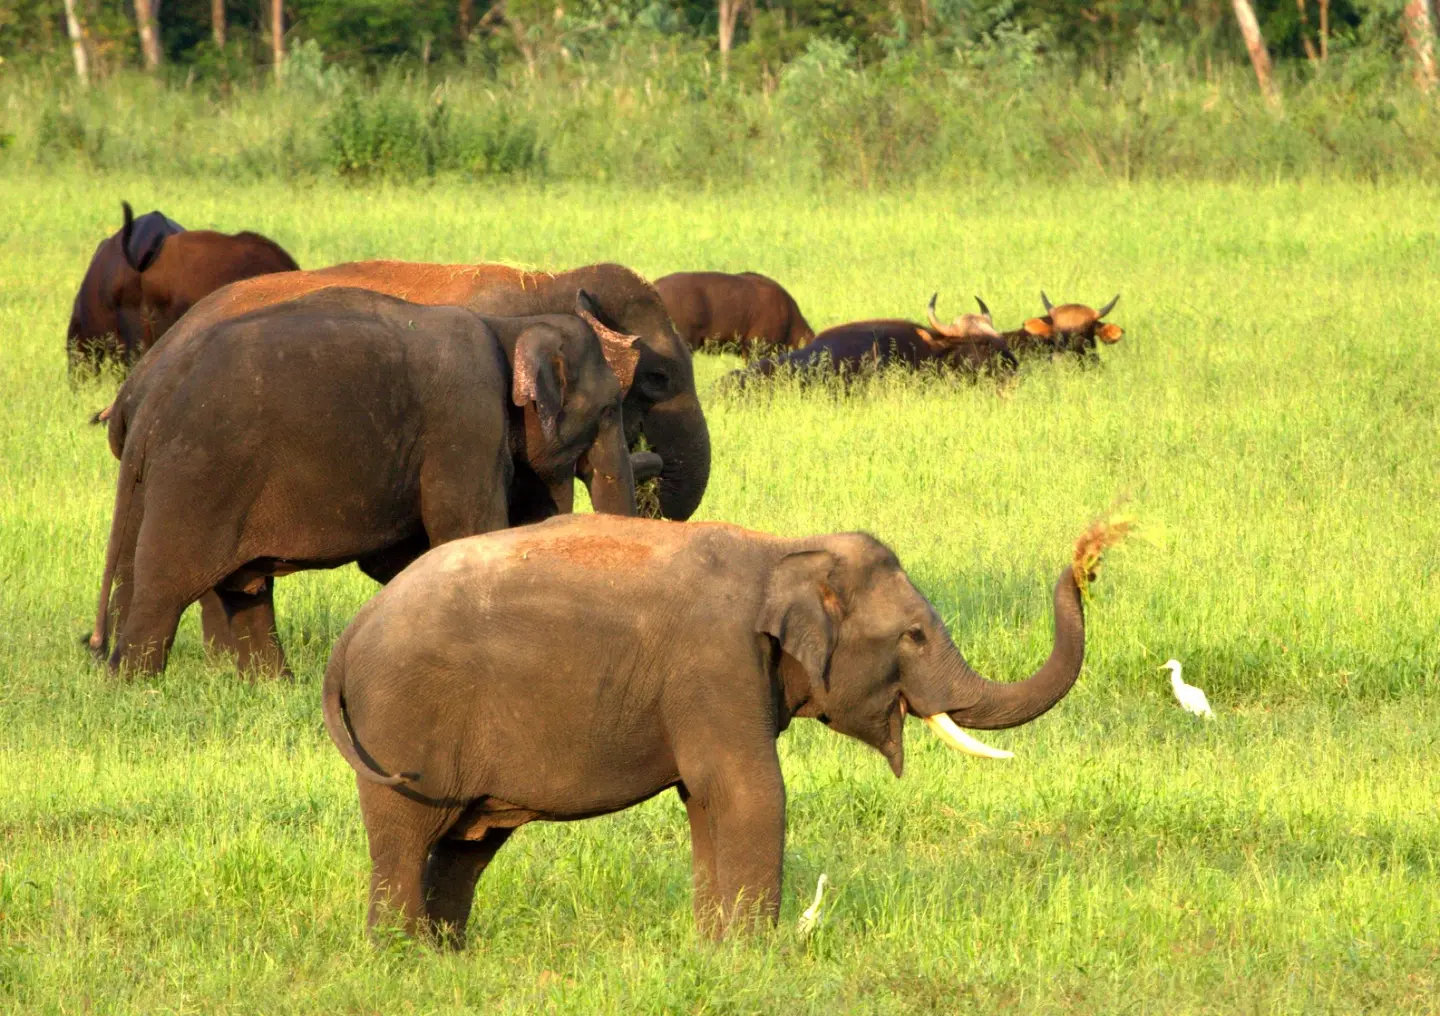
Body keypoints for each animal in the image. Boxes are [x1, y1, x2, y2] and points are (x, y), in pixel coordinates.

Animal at [89, 287, 639, 677]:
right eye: (611, 408)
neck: (509, 327)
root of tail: (149, 396)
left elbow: (399, 559)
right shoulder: (465, 424)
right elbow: (467, 529)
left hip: (160, 479)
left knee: (226, 588)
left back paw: (267, 685)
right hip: (201, 473)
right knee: (167, 586)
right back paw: (136, 688)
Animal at [322, 513, 1097, 945]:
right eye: (912, 635)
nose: (1085, 562)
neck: (787, 550)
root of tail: (352, 631)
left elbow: (706, 803)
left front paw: (712, 952)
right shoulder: (714, 664)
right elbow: (751, 793)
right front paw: (756, 958)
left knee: (467, 846)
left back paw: (446, 959)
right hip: (403, 726)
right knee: (406, 838)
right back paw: (398, 961)